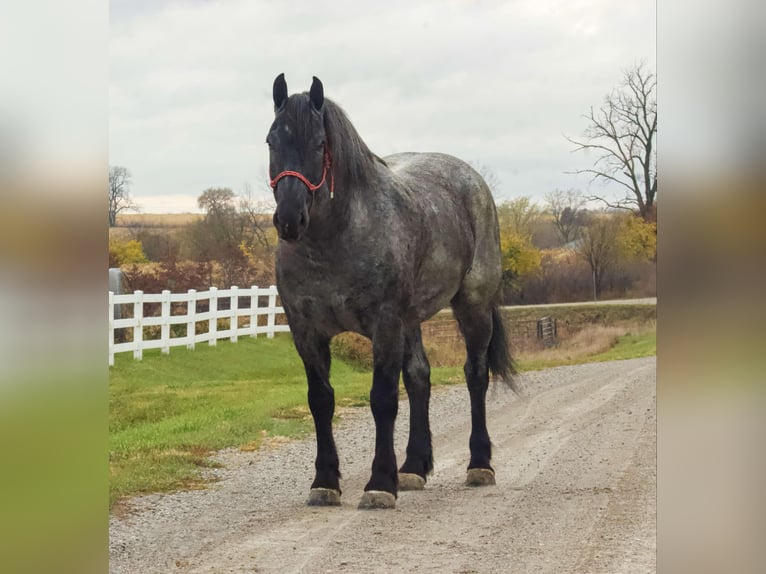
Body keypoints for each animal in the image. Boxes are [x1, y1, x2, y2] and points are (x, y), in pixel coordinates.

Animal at [267, 74, 515, 509]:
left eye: (320, 144)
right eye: (271, 140)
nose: (290, 219)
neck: (334, 240)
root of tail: (471, 179)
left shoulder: (384, 325)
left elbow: (382, 399)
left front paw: (380, 483)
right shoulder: (306, 332)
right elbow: (321, 400)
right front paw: (325, 481)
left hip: (473, 307)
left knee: (475, 375)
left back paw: (479, 464)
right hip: (411, 320)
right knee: (419, 378)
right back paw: (414, 467)